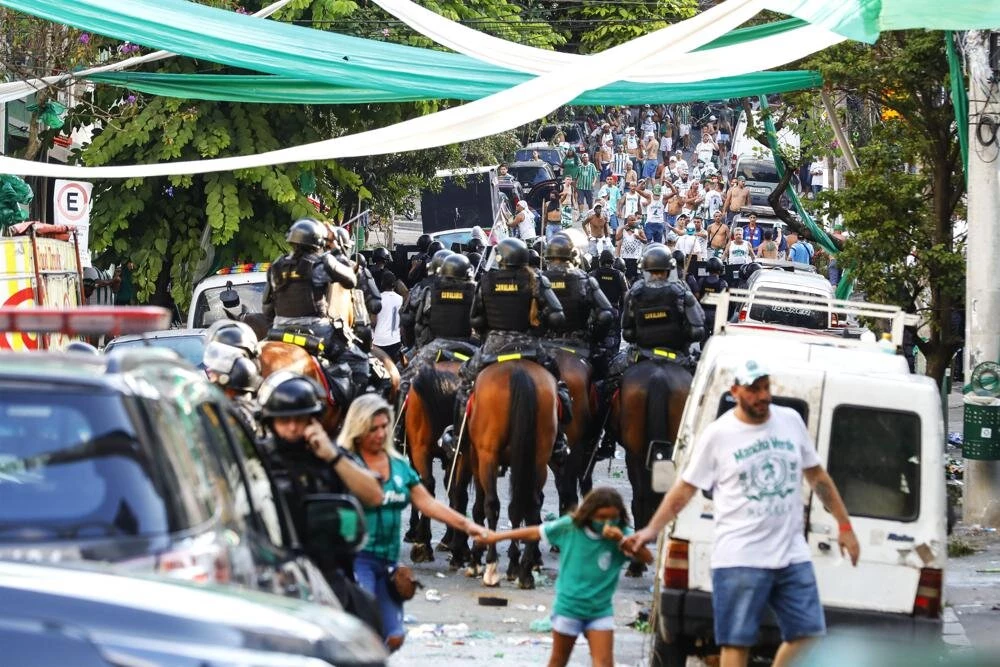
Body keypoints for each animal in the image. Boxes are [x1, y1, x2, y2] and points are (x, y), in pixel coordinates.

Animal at [458, 360, 556, 588]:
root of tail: (519, 371)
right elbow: (516, 510)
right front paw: (514, 564)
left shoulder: (476, 458)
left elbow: (479, 508)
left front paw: (476, 560)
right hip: (538, 459)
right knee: (531, 506)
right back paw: (525, 571)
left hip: (488, 455)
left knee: (492, 504)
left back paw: (492, 567)